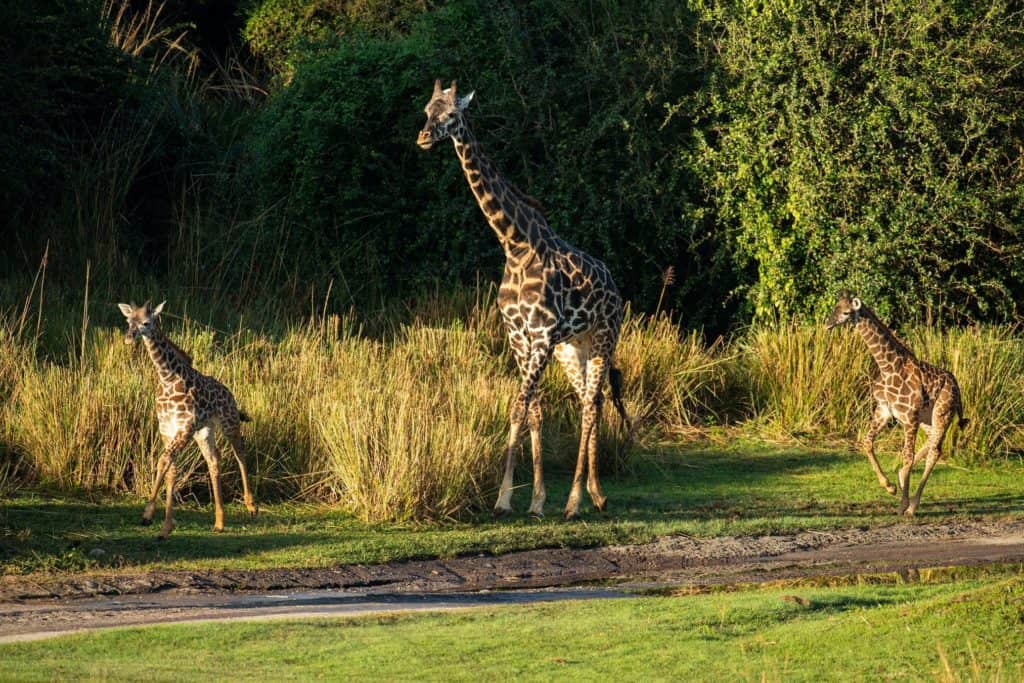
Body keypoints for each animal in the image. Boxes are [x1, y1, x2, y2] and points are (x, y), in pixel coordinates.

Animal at [118, 301, 258, 538]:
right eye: (129, 321)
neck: (167, 379)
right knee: (214, 460)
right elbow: (170, 468)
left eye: (146, 322)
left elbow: (163, 461)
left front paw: (153, 517)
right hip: (205, 431)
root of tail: (229, 393)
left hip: (229, 422)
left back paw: (251, 507)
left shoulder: (184, 427)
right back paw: (219, 522)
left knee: (240, 452)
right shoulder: (167, 429)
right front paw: (160, 522)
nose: (129, 338)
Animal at [417, 79, 630, 519]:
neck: (515, 245)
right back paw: (597, 493)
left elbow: (518, 406)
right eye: (426, 110)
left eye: (452, 114)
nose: (424, 137)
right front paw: (532, 499)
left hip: (604, 336)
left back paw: (575, 501)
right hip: (574, 346)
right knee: (592, 401)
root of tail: (615, 287)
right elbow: (533, 411)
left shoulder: (542, 335)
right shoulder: (519, 336)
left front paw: (505, 499)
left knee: (590, 405)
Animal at [826, 294, 968, 515]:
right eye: (835, 307)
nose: (828, 324)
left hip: (942, 413)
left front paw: (902, 504)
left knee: (935, 451)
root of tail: (957, 388)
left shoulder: (909, 417)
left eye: (846, 312)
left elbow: (907, 455)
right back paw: (901, 479)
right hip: (927, 419)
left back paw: (912, 506)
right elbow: (866, 443)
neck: (887, 368)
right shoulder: (884, 411)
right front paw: (890, 487)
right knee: (931, 442)